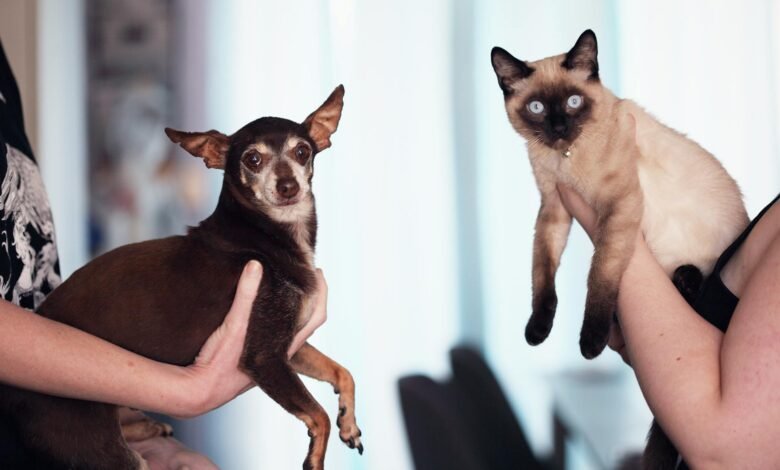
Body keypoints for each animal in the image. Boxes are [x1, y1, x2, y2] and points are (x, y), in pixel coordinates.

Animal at [0, 85, 362, 470]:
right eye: (252, 159)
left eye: (302, 151)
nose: (288, 186)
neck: (266, 234)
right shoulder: (264, 358)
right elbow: (318, 414)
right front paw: (315, 456)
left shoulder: (290, 346)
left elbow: (342, 372)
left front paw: (348, 421)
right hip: (103, 447)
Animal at [494, 29, 748, 470]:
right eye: (537, 108)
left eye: (573, 102)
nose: (559, 127)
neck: (565, 160)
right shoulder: (554, 212)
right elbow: (543, 276)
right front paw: (537, 331)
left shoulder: (617, 210)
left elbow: (600, 277)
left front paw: (589, 343)